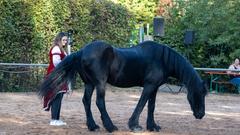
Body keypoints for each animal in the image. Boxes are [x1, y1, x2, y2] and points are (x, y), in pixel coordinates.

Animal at [38, 40, 207, 132]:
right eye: (199, 93)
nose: (201, 114)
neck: (162, 59)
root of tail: (82, 51)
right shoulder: (149, 86)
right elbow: (141, 104)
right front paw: (134, 125)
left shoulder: (155, 88)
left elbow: (151, 106)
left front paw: (152, 126)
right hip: (100, 83)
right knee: (99, 102)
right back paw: (110, 127)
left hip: (90, 84)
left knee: (86, 102)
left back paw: (93, 126)